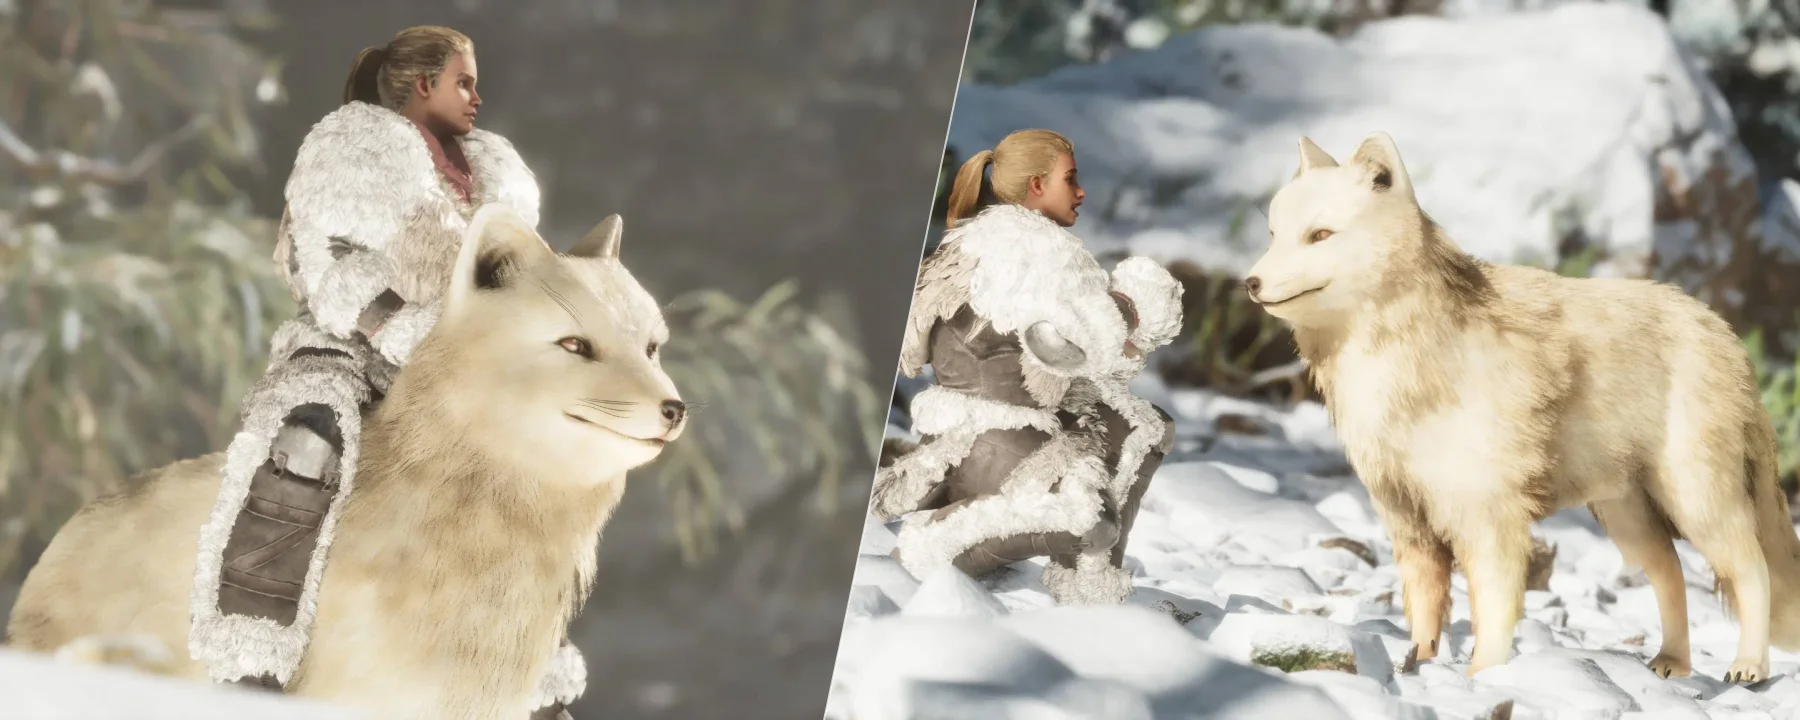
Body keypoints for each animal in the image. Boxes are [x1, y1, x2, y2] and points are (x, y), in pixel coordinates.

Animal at [1243, 131, 1800, 684]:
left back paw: (1748, 667)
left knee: (1751, 571)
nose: (1250, 283)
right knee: (1672, 573)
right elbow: (1425, 614)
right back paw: (1672, 664)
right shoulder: (1410, 524)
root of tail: (1722, 331)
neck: (1404, 362)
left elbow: (1492, 610)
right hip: (1627, 518)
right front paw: (1418, 670)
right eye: (1273, 234)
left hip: (1696, 503)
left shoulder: (1489, 518)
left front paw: (1483, 679)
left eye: (1319, 235)